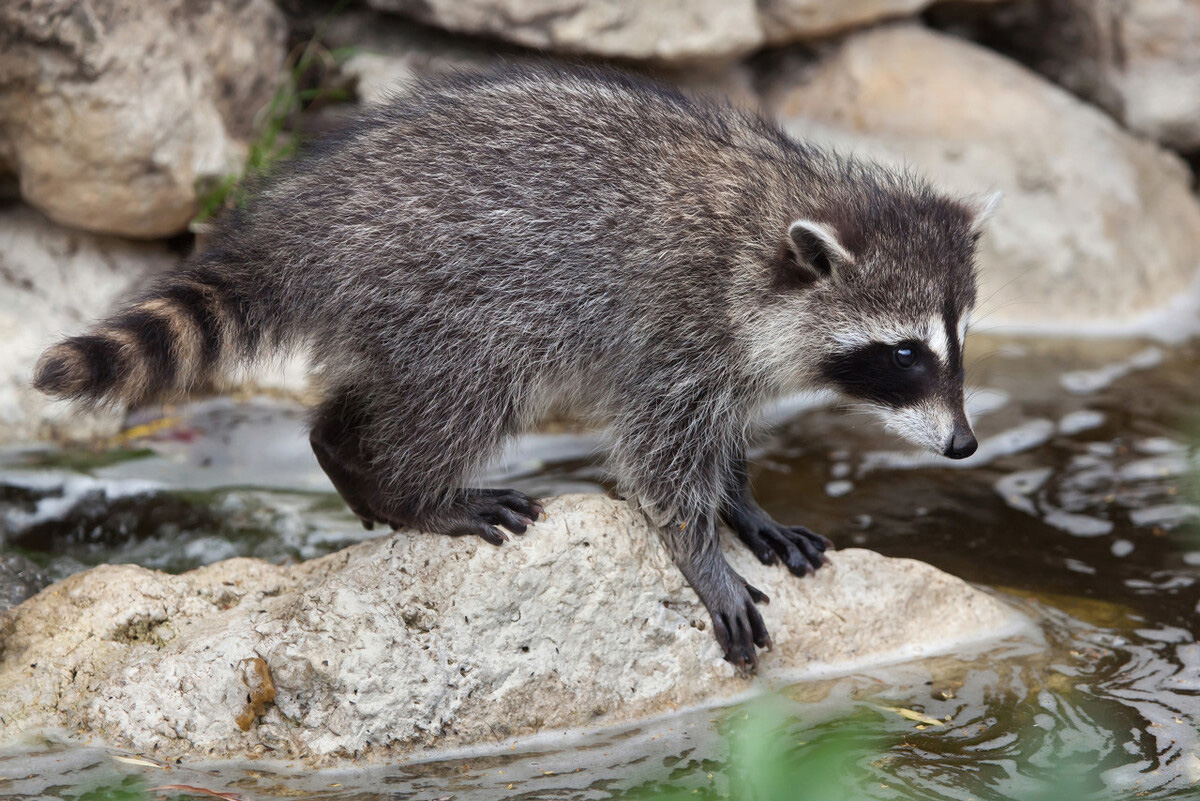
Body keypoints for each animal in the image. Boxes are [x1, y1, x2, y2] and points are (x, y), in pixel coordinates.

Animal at [35, 67, 993, 671]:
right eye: (903, 354)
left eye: (956, 341)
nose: (963, 446)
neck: (772, 224)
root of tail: (307, 213)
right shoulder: (677, 326)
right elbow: (660, 456)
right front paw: (700, 552)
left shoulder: (725, 352)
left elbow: (717, 439)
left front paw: (744, 504)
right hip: (456, 293)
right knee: (470, 393)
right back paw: (412, 491)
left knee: (373, 394)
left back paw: (340, 448)